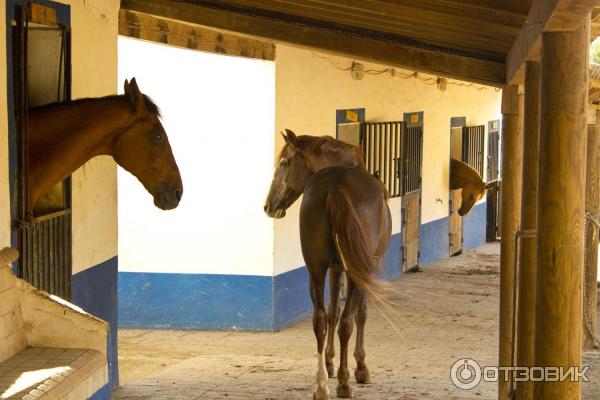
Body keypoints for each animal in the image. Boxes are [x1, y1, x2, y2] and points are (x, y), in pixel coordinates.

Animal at [264, 130, 392, 396]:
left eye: (284, 162)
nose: (268, 206)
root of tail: (337, 187)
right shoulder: (363, 269)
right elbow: (359, 314)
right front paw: (360, 367)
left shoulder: (334, 269)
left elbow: (332, 312)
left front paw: (330, 363)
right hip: (353, 271)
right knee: (347, 322)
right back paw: (344, 382)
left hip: (315, 269)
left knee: (320, 319)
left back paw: (321, 384)